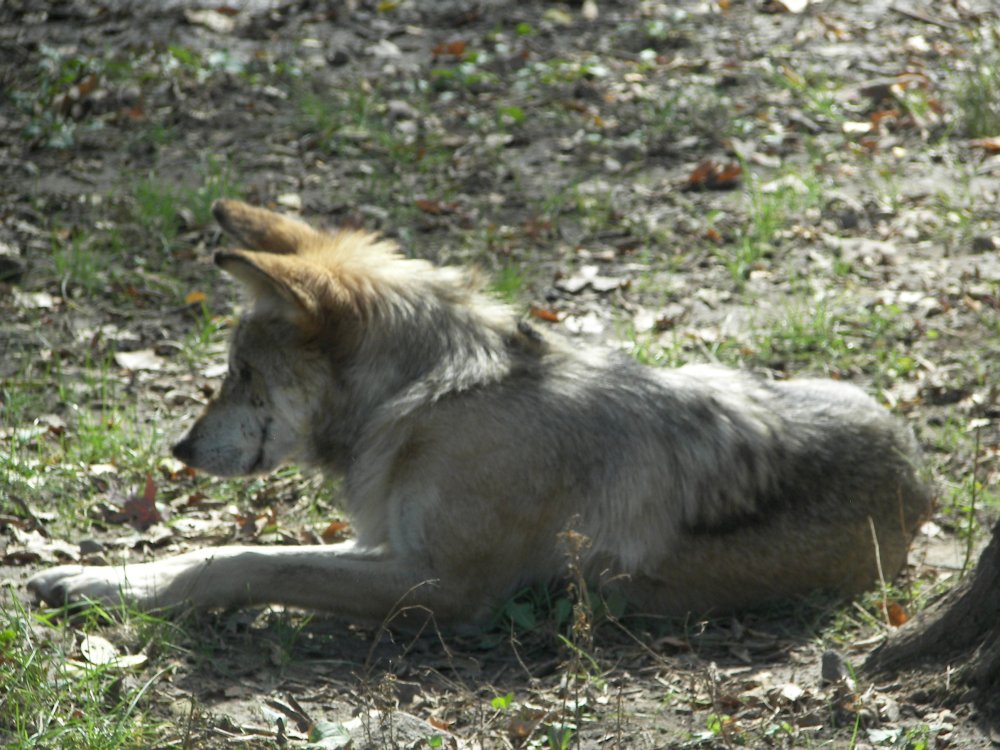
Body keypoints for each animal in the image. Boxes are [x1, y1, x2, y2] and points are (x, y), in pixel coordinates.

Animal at [25, 198, 928, 624]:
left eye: (240, 372)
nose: (178, 447)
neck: (426, 398)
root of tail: (926, 486)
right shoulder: (386, 544)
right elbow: (218, 550)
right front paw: (96, 578)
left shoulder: (439, 584)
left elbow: (248, 564)